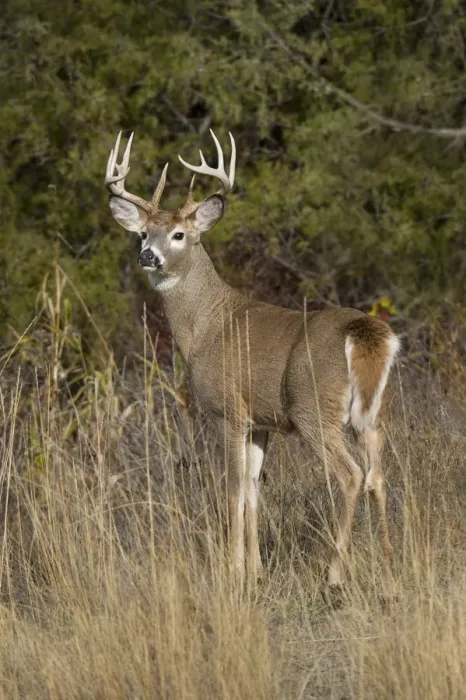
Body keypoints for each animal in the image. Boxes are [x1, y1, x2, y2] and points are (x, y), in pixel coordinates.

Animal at [105, 129, 400, 590]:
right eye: (142, 234)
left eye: (179, 235)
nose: (147, 256)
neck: (207, 327)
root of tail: (364, 332)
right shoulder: (261, 422)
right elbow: (252, 492)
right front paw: (256, 570)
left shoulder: (227, 410)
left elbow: (231, 491)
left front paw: (231, 572)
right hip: (373, 413)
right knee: (378, 476)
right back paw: (387, 566)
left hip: (312, 406)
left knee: (350, 475)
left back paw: (333, 573)